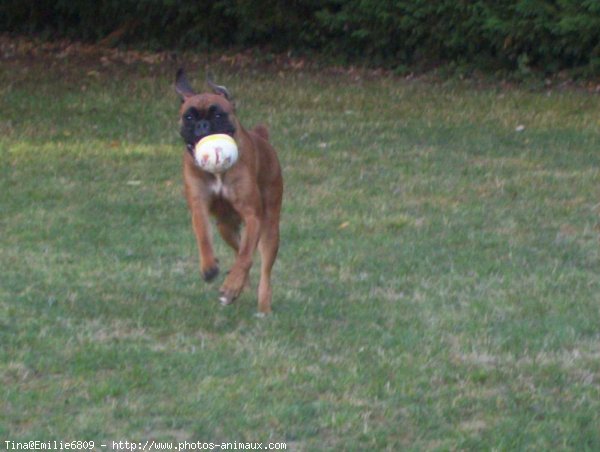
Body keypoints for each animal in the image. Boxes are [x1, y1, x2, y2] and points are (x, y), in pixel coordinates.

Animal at [176, 69, 284, 314]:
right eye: (189, 117)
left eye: (218, 115)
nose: (203, 125)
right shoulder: (199, 208)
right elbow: (204, 239)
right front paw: (209, 267)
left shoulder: (253, 216)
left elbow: (245, 258)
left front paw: (231, 286)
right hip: (225, 226)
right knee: (238, 248)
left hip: (270, 229)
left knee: (260, 266)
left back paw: (261, 305)